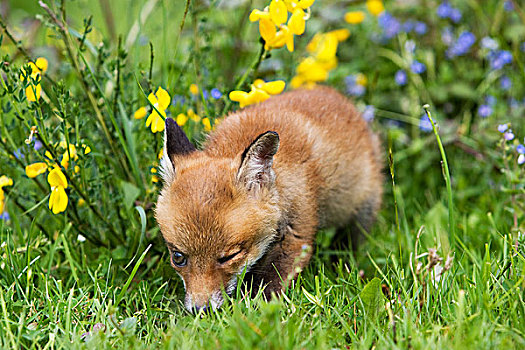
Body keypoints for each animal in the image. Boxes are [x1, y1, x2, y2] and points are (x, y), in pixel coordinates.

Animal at [155, 87, 380, 312]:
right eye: (178, 257)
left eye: (229, 257)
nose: (201, 310)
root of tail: (334, 94)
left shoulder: (295, 235)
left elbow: (269, 287)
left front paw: (253, 311)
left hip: (361, 211)